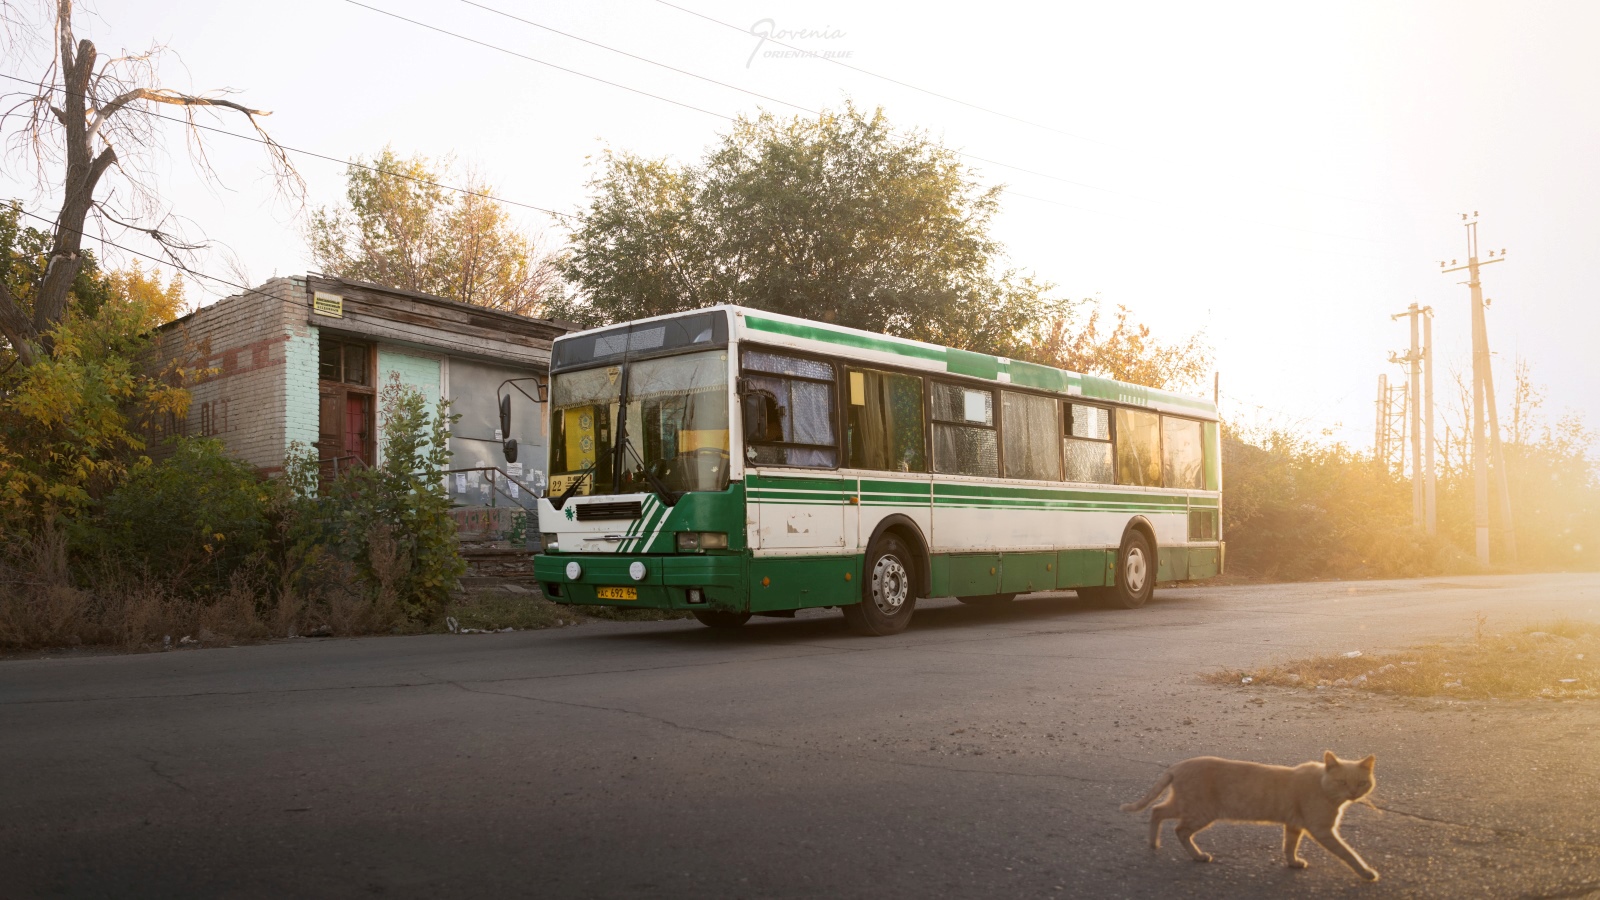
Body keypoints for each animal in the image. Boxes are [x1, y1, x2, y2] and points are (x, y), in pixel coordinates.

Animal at [1126, 746, 1376, 877]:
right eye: (1343, 782)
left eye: (1362, 783)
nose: (1353, 792)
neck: (1323, 787)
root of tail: (1177, 766)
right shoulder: (1322, 830)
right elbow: (1348, 853)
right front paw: (1366, 872)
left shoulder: (1294, 826)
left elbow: (1289, 846)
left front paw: (1293, 863)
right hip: (1198, 811)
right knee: (1176, 827)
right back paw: (1195, 855)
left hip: (1186, 807)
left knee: (1157, 811)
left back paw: (1154, 844)